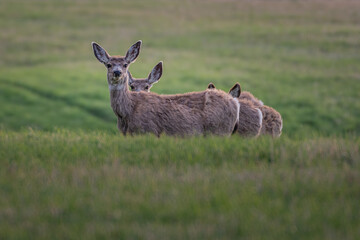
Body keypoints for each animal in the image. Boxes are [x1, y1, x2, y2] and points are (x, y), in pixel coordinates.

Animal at [91, 40, 240, 136]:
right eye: (108, 65)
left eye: (126, 64)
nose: (117, 72)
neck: (126, 113)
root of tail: (234, 102)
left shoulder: (148, 130)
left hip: (219, 130)